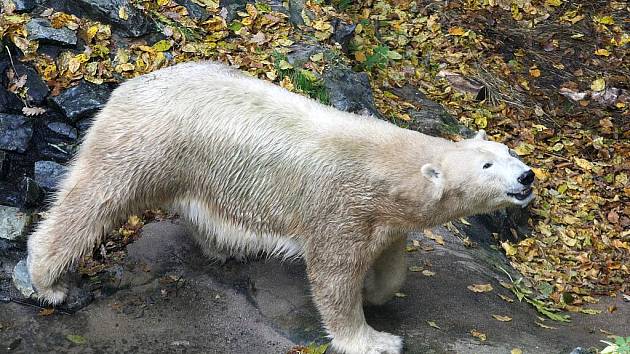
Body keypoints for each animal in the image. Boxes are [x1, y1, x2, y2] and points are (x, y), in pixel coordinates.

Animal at [27, 62, 536, 352]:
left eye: (508, 150)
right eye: (488, 164)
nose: (527, 177)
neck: (389, 166)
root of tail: (125, 87)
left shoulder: (384, 216)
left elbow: (390, 259)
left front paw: (378, 291)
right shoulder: (341, 206)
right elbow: (333, 277)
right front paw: (374, 339)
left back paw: (224, 248)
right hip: (147, 145)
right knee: (94, 199)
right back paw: (48, 280)